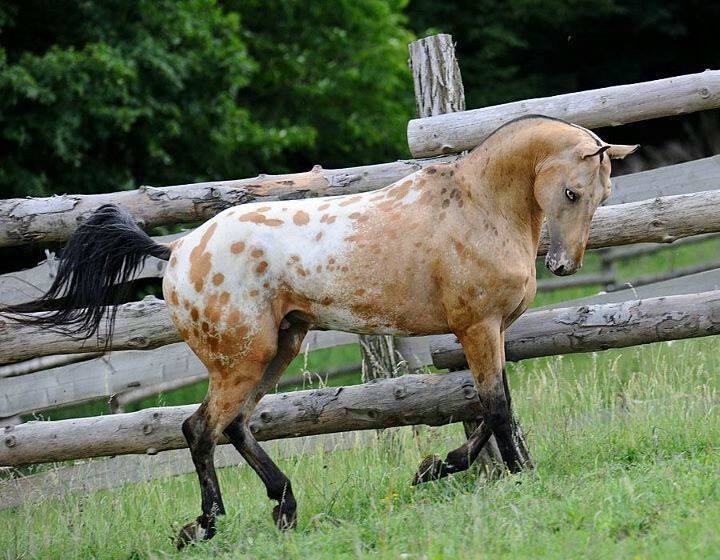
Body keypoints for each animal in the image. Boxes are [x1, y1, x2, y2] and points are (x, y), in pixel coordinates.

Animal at [4, 115, 636, 548]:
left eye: (604, 195)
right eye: (573, 192)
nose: (562, 266)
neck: (477, 208)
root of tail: (178, 249)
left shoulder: (490, 333)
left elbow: (488, 406)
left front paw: (435, 467)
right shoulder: (478, 329)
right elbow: (497, 407)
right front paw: (520, 474)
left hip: (280, 348)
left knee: (234, 426)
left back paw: (284, 506)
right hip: (242, 359)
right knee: (199, 429)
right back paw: (205, 526)